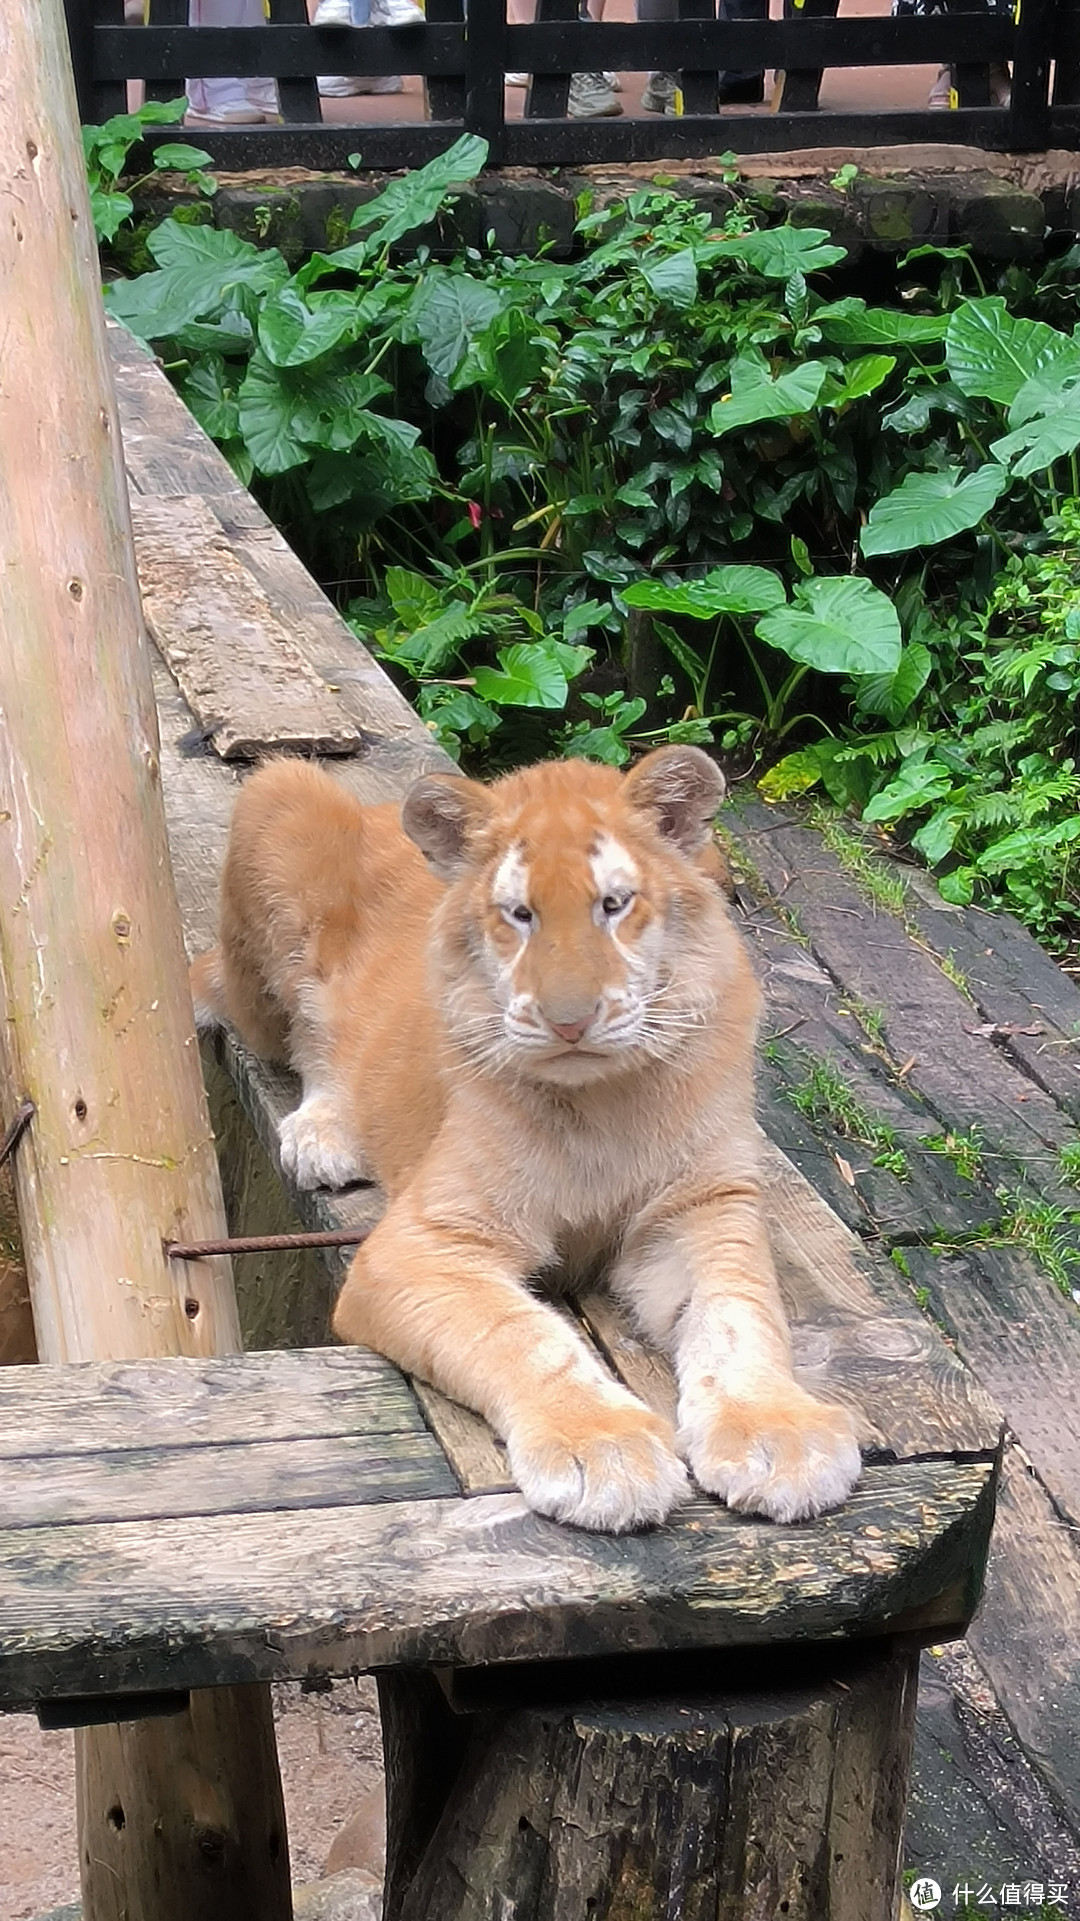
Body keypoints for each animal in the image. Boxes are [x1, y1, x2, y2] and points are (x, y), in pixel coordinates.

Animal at [193, 745, 857, 1529]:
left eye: (614, 905)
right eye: (520, 915)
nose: (569, 1021)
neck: (605, 1099)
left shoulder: (699, 1207)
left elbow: (739, 1312)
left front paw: (779, 1435)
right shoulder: (427, 1242)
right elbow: (523, 1335)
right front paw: (603, 1452)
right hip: (277, 801)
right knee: (306, 1036)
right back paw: (324, 1132)